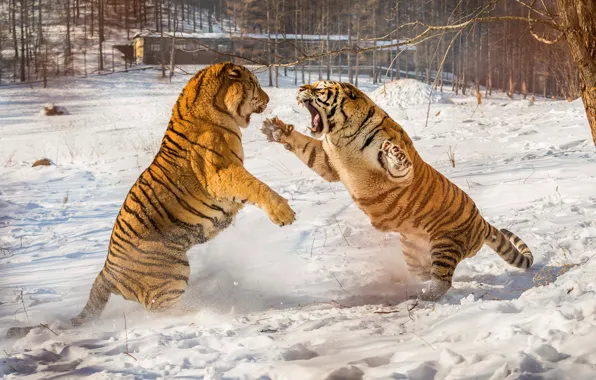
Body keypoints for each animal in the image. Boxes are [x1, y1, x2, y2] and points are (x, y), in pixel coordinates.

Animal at [8, 62, 296, 338]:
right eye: (255, 83)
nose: (268, 98)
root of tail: (106, 271)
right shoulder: (222, 173)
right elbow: (256, 186)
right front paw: (284, 213)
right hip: (171, 274)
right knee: (165, 311)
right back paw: (212, 310)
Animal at [264, 81, 532, 302]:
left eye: (319, 88)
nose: (300, 88)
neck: (340, 136)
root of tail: (481, 221)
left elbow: (400, 165)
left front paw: (394, 153)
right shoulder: (328, 161)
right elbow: (306, 147)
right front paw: (276, 130)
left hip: (446, 244)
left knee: (442, 281)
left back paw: (422, 296)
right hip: (414, 251)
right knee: (425, 274)